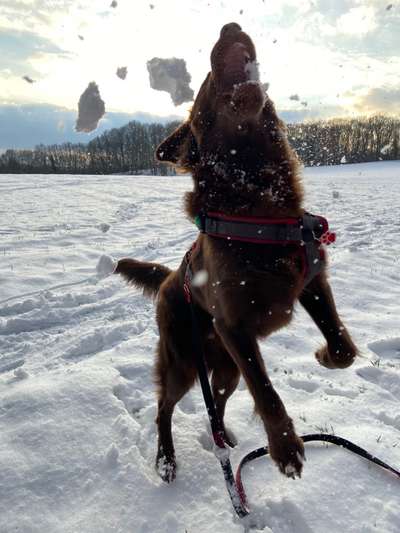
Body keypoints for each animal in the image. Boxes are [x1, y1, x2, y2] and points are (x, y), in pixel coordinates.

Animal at [114, 23, 358, 482]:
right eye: (206, 81)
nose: (230, 27)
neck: (259, 204)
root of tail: (169, 279)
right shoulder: (233, 327)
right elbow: (267, 391)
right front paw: (285, 447)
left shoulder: (312, 281)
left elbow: (343, 346)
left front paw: (323, 355)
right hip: (183, 362)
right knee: (164, 406)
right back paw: (166, 459)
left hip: (226, 368)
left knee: (219, 399)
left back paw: (223, 437)